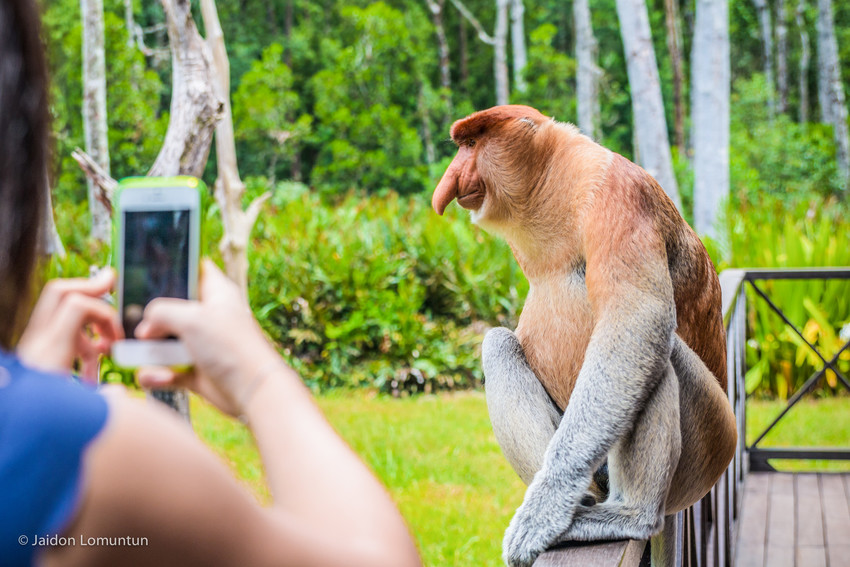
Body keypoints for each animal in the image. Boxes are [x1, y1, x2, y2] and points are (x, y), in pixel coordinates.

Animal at [432, 105, 737, 567]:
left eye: (471, 144)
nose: (449, 179)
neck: (550, 183)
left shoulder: (620, 194)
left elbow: (636, 318)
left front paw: (541, 513)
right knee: (498, 345)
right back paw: (588, 499)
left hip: (710, 445)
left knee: (654, 352)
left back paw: (629, 515)